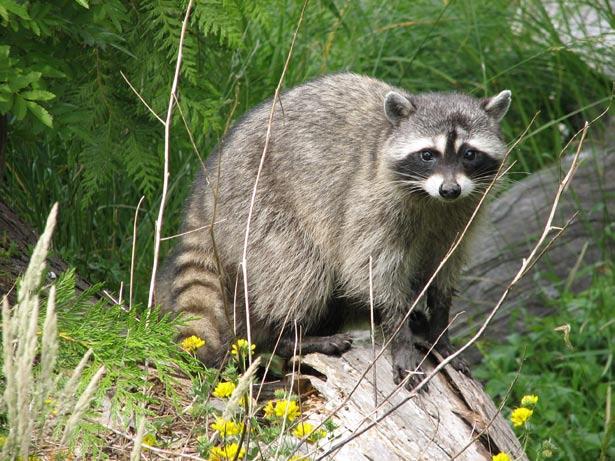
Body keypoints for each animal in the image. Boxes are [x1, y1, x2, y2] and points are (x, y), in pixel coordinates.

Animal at [156, 73, 512, 388]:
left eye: (469, 154)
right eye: (428, 155)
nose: (450, 189)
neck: (433, 201)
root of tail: (207, 188)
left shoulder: (461, 217)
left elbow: (443, 270)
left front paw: (439, 330)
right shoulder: (369, 203)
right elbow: (370, 270)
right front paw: (399, 334)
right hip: (258, 205)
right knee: (299, 270)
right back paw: (286, 338)